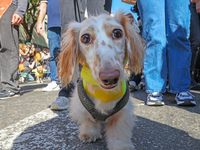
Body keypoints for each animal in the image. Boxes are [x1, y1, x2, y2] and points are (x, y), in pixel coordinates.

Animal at [58, 10, 145, 150]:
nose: (110, 77)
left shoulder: (123, 113)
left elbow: (118, 130)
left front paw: (120, 145)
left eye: (117, 33)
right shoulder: (81, 106)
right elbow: (88, 120)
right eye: (85, 38)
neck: (104, 93)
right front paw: (89, 133)